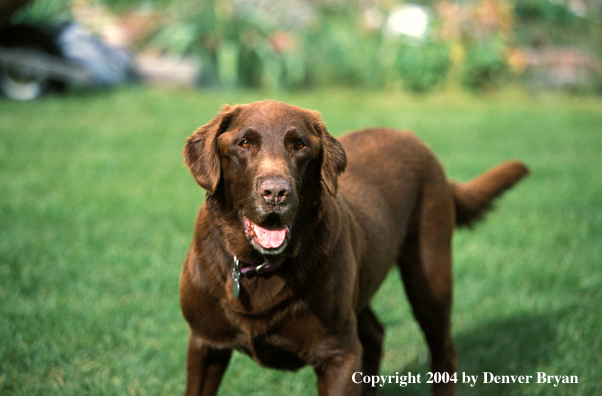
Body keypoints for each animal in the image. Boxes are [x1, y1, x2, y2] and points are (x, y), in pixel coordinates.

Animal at [178, 100, 524, 394]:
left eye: (299, 145)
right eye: (244, 144)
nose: (275, 192)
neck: (261, 265)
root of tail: (413, 138)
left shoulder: (338, 356)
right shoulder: (205, 345)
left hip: (429, 279)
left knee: (444, 354)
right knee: (375, 334)